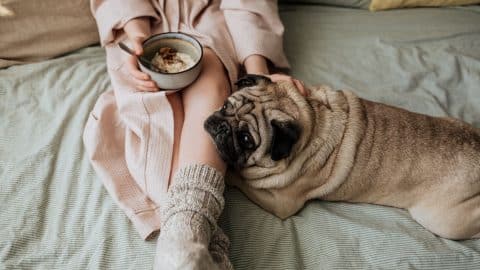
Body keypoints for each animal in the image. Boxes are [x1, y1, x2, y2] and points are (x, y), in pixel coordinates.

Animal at [203, 73, 480, 238]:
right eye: (226, 105)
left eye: (246, 140)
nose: (220, 126)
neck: (313, 117)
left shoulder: (281, 203)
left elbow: (243, 181)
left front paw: (229, 175)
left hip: (440, 221)